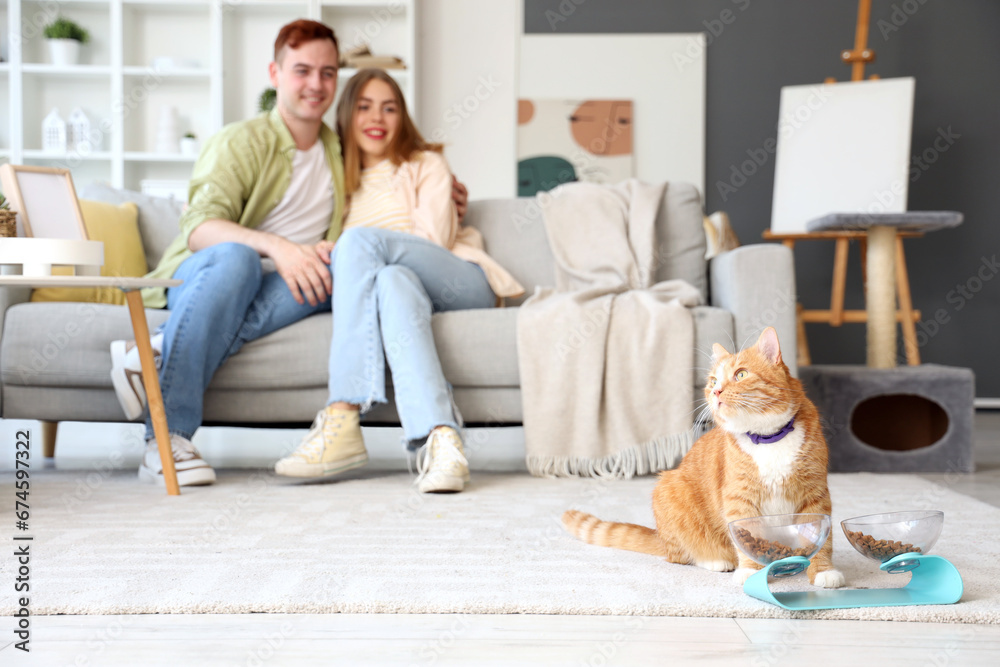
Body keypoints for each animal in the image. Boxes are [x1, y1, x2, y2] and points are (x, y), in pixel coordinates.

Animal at [564, 326, 844, 588]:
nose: (716, 391)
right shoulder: (739, 499)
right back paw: (715, 560)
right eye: (712, 380)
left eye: (741, 374)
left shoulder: (815, 494)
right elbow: (747, 535)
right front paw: (750, 571)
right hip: (670, 487)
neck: (768, 438)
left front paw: (823, 570)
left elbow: (820, 538)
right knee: (681, 556)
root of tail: (660, 536)